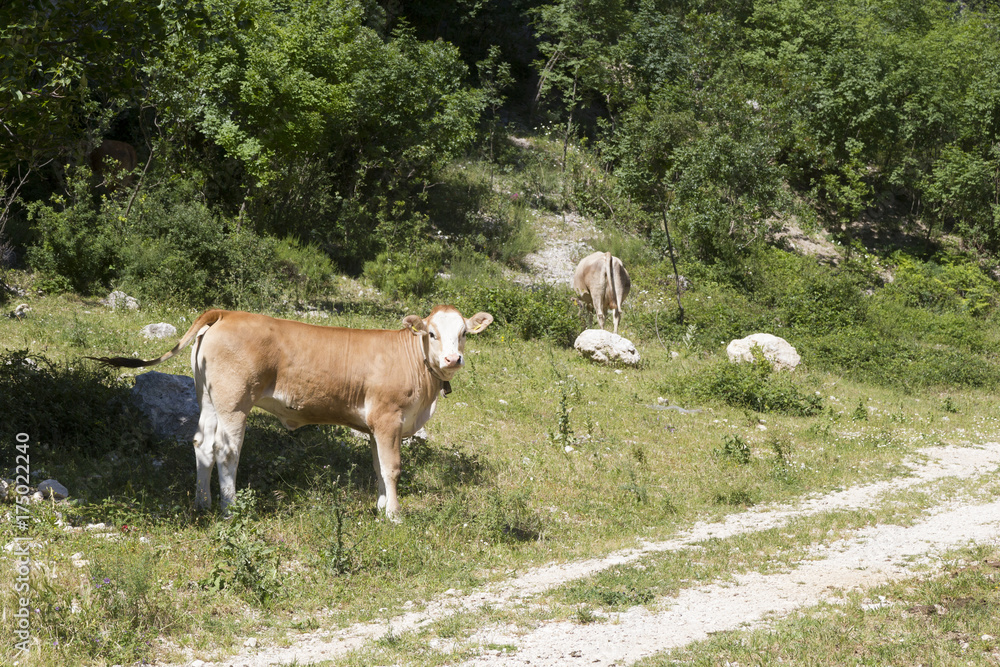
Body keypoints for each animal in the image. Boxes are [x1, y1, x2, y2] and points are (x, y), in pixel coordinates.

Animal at [89, 306, 493, 519]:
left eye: (463, 334)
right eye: (432, 334)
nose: (452, 359)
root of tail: (226, 312)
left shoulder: (374, 426)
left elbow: (378, 467)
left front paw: (381, 508)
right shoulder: (388, 417)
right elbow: (392, 468)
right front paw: (394, 515)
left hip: (208, 397)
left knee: (202, 444)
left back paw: (202, 504)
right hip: (235, 400)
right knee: (226, 451)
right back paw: (230, 508)